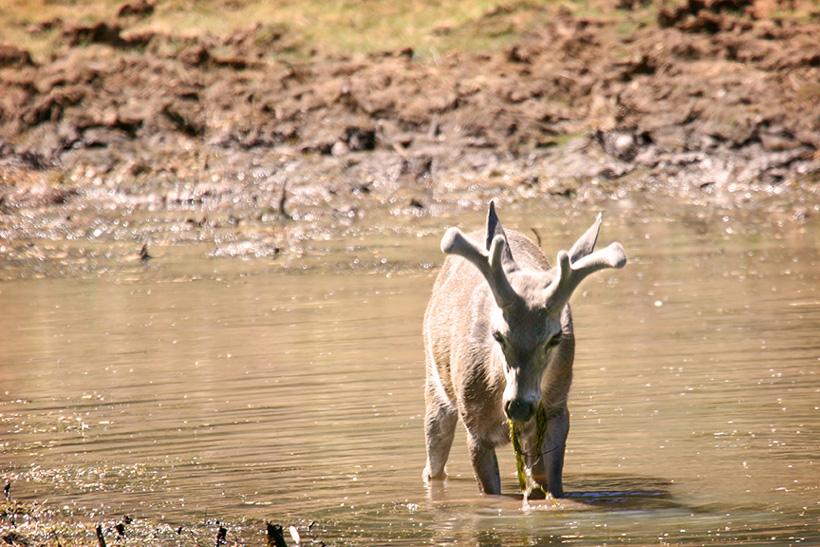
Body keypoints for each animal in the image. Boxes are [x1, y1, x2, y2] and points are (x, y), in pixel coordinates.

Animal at [422, 201, 626, 497]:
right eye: (498, 334)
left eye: (555, 337)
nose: (519, 406)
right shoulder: (474, 426)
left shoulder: (556, 411)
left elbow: (551, 482)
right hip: (435, 383)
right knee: (433, 459)